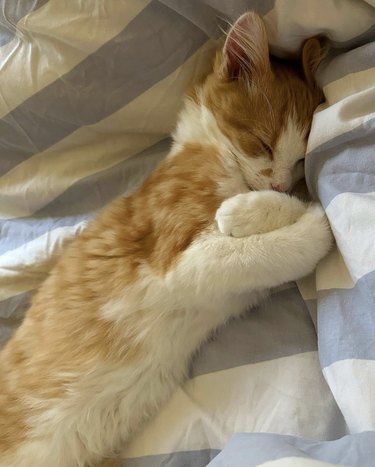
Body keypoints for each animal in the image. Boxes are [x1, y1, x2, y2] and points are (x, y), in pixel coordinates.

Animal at [1, 11, 334, 467]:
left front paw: (252, 208)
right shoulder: (178, 262)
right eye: (263, 144)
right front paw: (309, 222)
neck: (209, 149)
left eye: (301, 159)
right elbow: (272, 249)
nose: (282, 182)